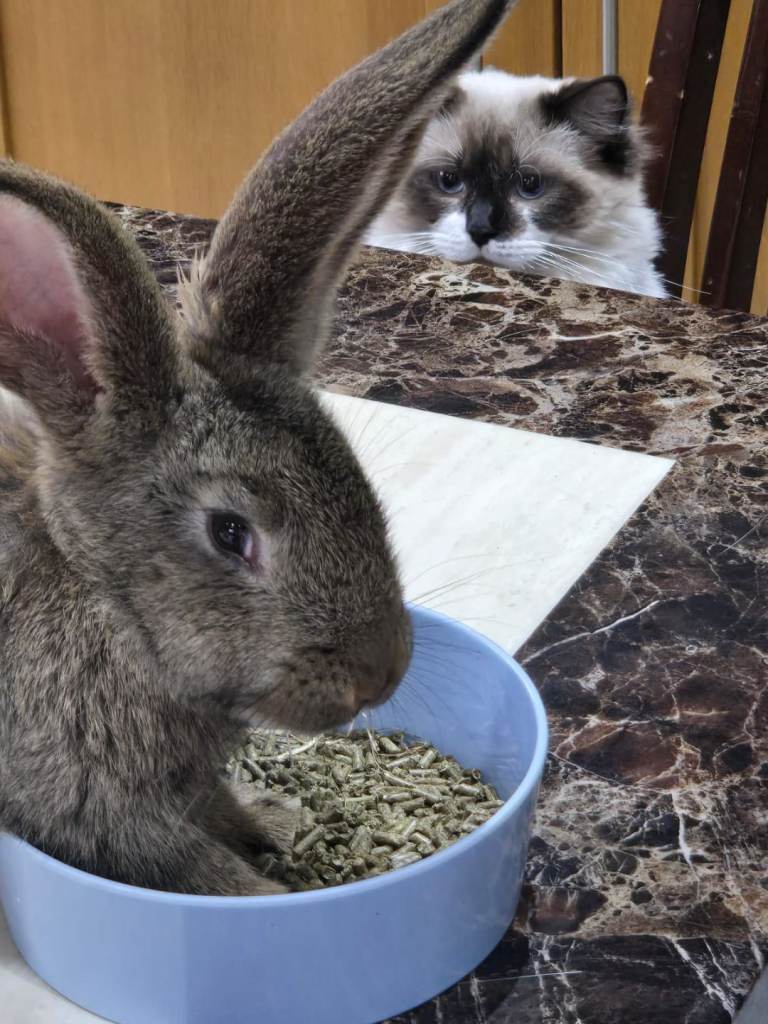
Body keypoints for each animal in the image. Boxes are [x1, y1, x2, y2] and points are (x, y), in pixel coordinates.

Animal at [0, 0, 515, 896]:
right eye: (231, 533)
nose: (381, 673)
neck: (101, 599)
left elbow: (219, 808)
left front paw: (278, 823)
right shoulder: (95, 812)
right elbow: (195, 866)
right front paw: (270, 886)